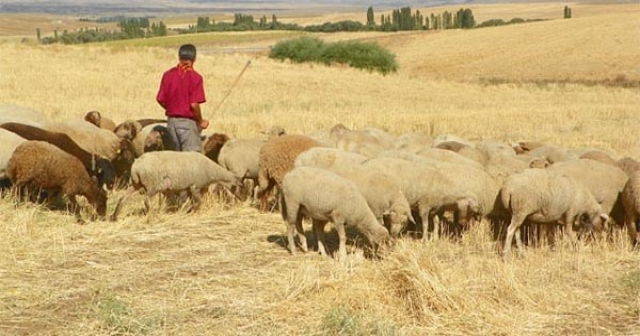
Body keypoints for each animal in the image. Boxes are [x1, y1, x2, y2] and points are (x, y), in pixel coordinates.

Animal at [110, 150, 242, 218]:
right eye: (239, 187)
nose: (242, 200)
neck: (212, 171)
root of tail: (136, 166)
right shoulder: (195, 186)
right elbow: (198, 201)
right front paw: (193, 211)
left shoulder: (190, 188)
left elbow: (192, 201)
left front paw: (187, 210)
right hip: (152, 185)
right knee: (146, 200)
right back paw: (151, 215)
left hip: (134, 184)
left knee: (122, 198)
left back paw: (115, 216)